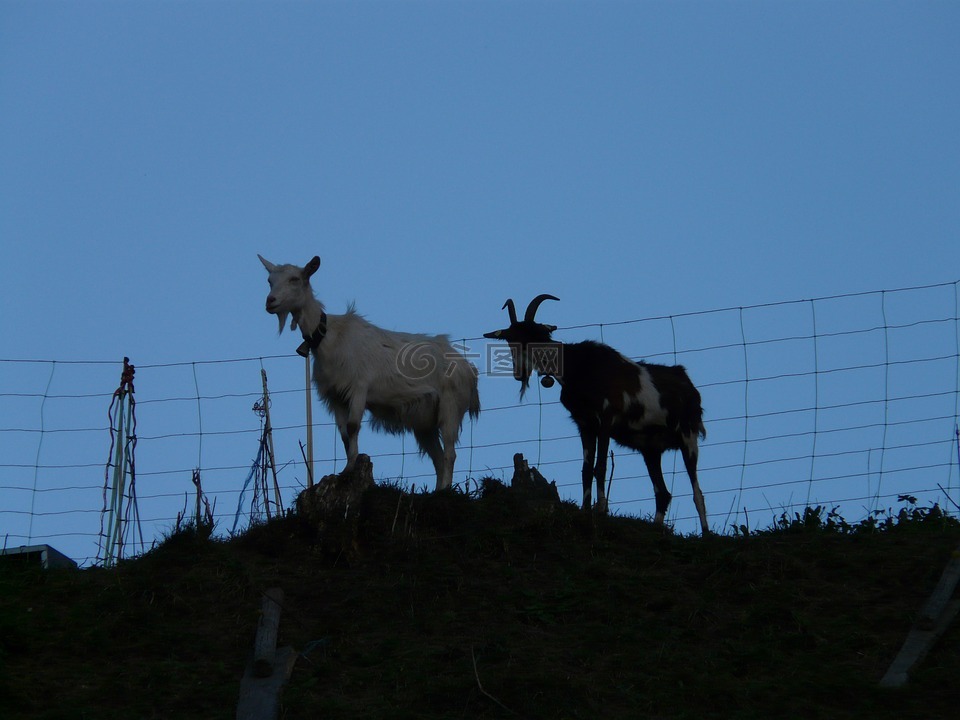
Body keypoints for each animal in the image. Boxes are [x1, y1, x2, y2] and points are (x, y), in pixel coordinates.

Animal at [258, 253, 480, 490]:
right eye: (269, 281)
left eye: (295, 279)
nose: (270, 301)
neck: (330, 338)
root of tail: (469, 370)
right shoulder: (335, 396)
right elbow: (344, 434)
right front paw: (347, 466)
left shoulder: (358, 387)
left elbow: (353, 426)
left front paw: (350, 468)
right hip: (425, 422)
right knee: (438, 457)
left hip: (451, 405)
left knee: (449, 452)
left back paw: (445, 489)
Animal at [484, 294, 708, 536]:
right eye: (510, 339)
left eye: (531, 336)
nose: (519, 373)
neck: (579, 367)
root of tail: (689, 386)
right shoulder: (585, 425)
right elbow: (586, 469)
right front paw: (585, 511)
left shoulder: (605, 420)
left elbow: (600, 466)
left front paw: (601, 510)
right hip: (651, 449)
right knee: (663, 493)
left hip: (688, 436)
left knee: (697, 491)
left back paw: (706, 534)